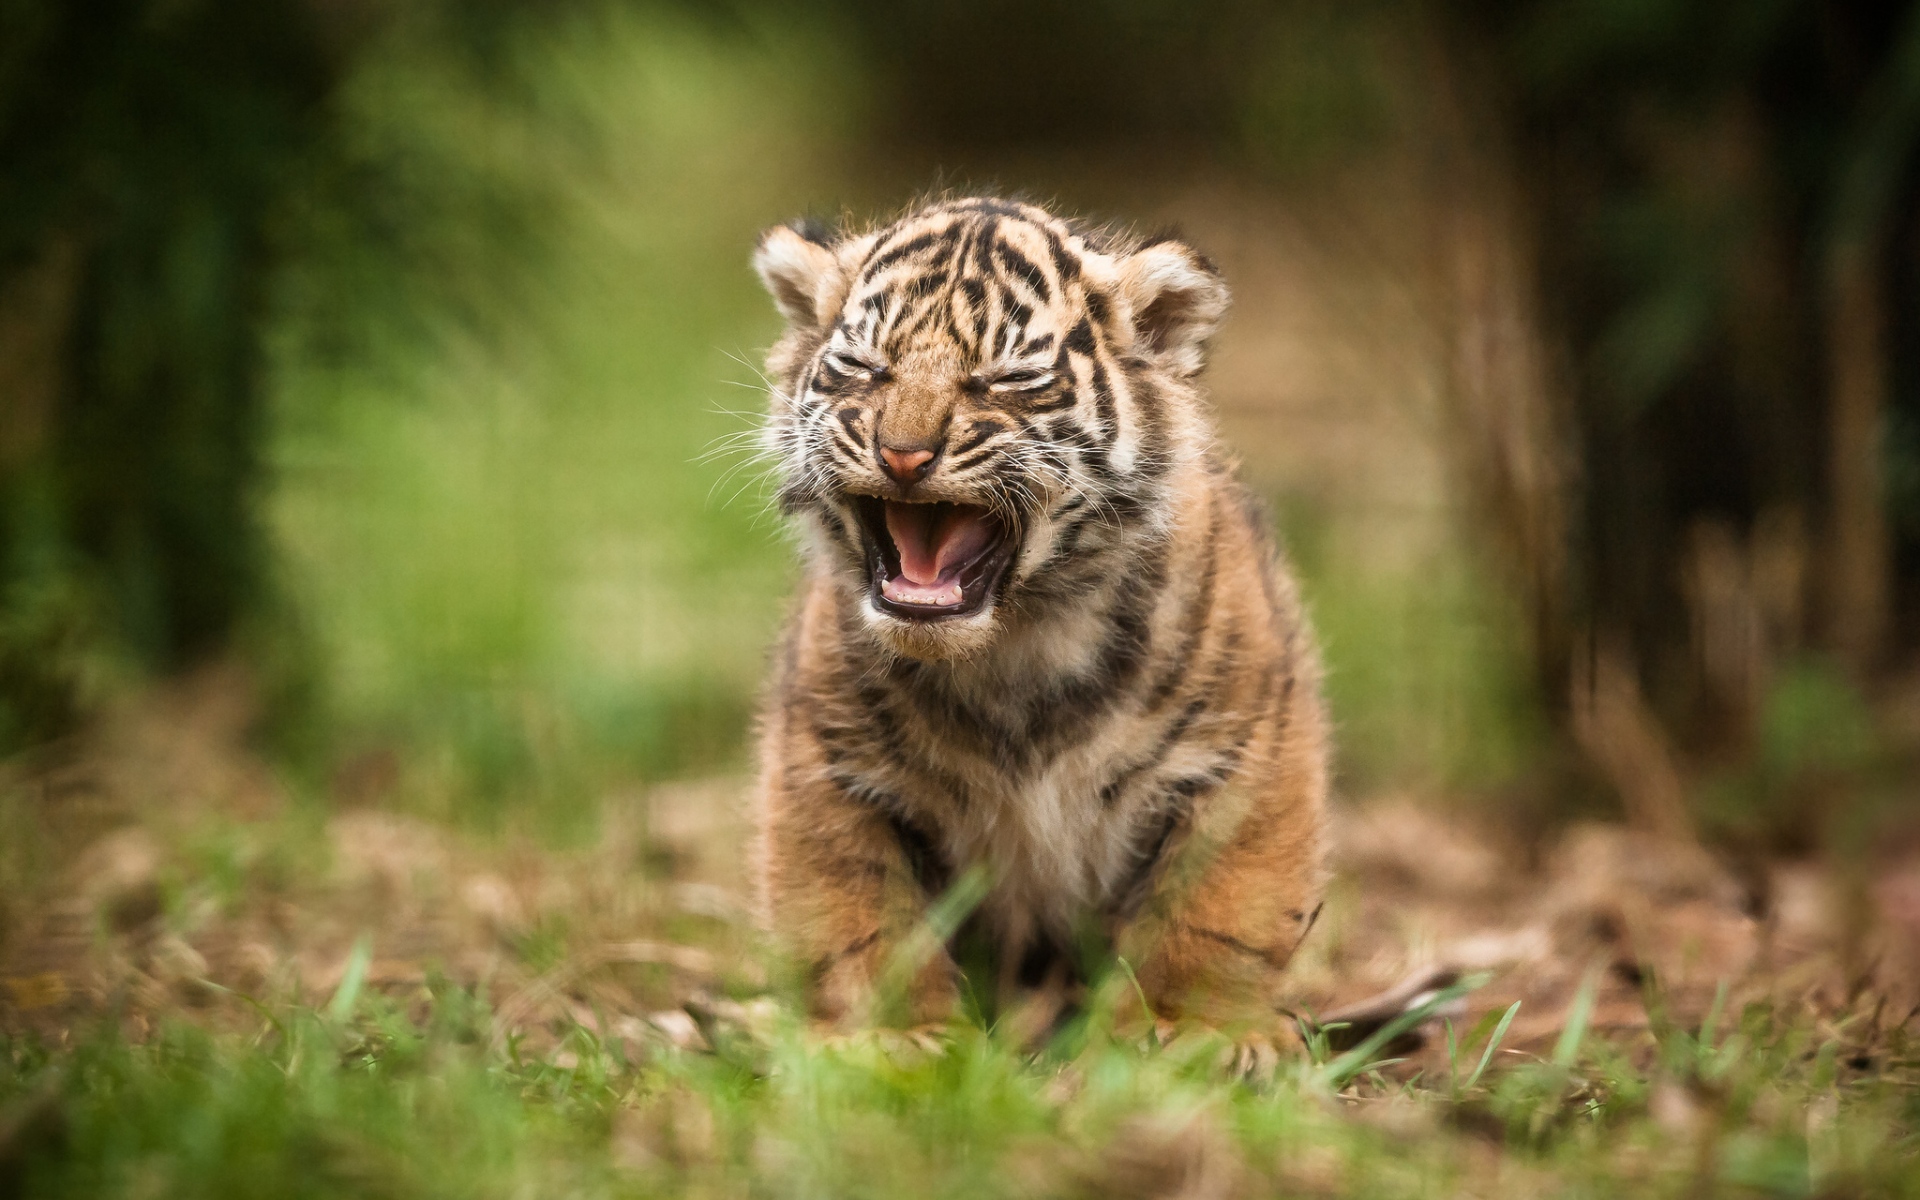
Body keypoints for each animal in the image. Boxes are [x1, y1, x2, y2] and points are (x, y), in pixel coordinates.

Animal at [747, 195, 1327, 1056]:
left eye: (1005, 380)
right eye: (864, 368)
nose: (902, 454)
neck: (1014, 641)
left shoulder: (1245, 751)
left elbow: (1218, 908)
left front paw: (1193, 1031)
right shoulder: (825, 763)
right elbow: (859, 918)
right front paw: (895, 1037)